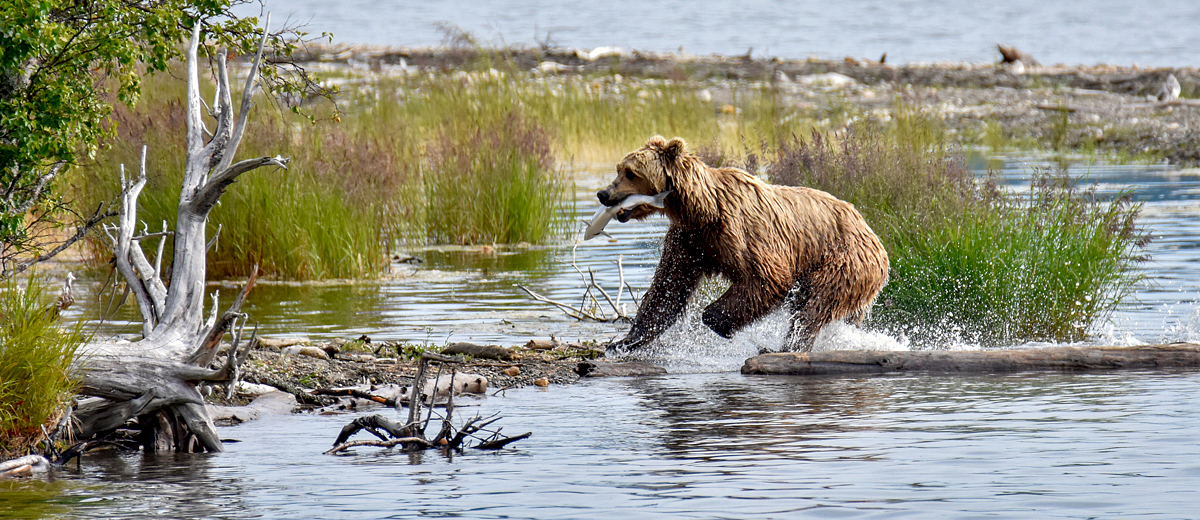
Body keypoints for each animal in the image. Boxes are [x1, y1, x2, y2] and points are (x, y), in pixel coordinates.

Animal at [600, 135, 892, 353]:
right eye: (619, 169)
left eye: (631, 173)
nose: (603, 194)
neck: (702, 210)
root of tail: (871, 232)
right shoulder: (689, 241)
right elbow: (668, 287)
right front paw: (624, 341)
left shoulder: (741, 232)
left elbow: (768, 277)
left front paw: (717, 319)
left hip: (843, 262)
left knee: (813, 306)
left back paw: (786, 346)